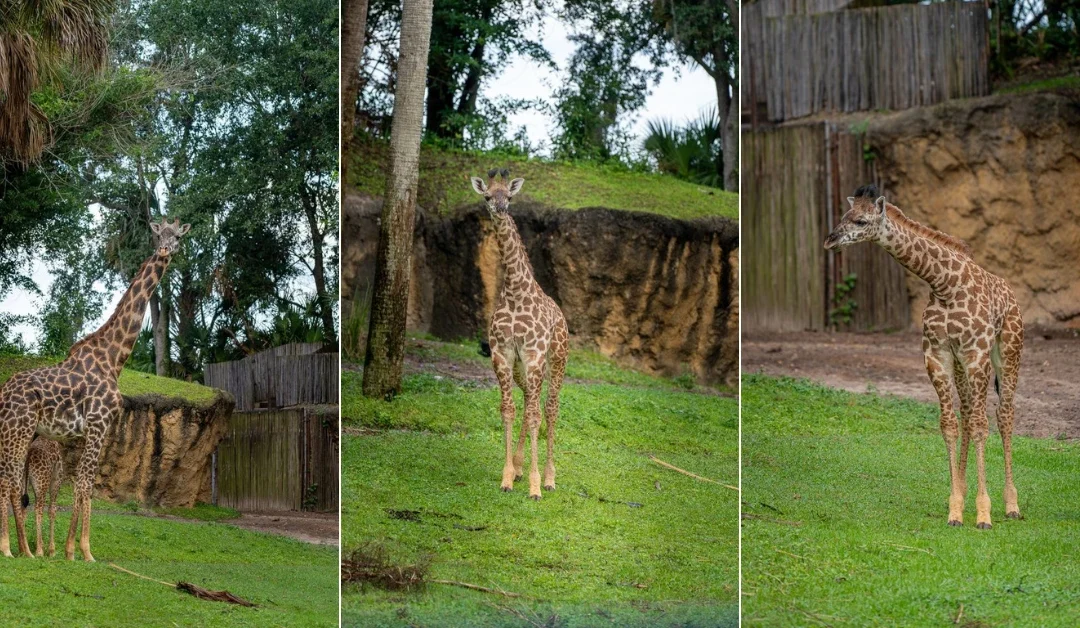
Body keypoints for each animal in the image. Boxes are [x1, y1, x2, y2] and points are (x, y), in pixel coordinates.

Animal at [0, 218, 189, 559]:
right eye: (158, 235)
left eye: (177, 237)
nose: (165, 250)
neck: (113, 358)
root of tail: (2, 393)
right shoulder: (100, 424)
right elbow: (86, 484)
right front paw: (85, 551)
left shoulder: (92, 429)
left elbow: (81, 484)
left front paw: (69, 550)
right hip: (18, 430)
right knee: (7, 481)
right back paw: (10, 549)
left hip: (17, 433)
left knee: (11, 481)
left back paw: (26, 550)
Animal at [470, 169, 569, 500]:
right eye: (488, 196)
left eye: (510, 197)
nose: (500, 210)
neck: (514, 292)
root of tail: (562, 316)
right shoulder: (501, 353)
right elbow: (509, 410)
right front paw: (507, 477)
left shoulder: (535, 354)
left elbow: (536, 414)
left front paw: (536, 486)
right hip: (520, 367)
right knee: (528, 400)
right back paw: (518, 465)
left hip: (557, 359)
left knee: (549, 407)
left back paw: (549, 477)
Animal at [824, 185, 1023, 529]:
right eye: (844, 215)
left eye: (861, 221)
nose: (831, 239)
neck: (944, 285)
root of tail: (1011, 294)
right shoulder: (937, 354)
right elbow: (949, 424)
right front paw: (955, 508)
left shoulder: (976, 353)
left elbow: (982, 425)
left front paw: (983, 513)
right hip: (961, 365)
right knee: (968, 414)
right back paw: (966, 491)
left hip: (1007, 352)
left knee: (1004, 415)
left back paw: (1011, 505)